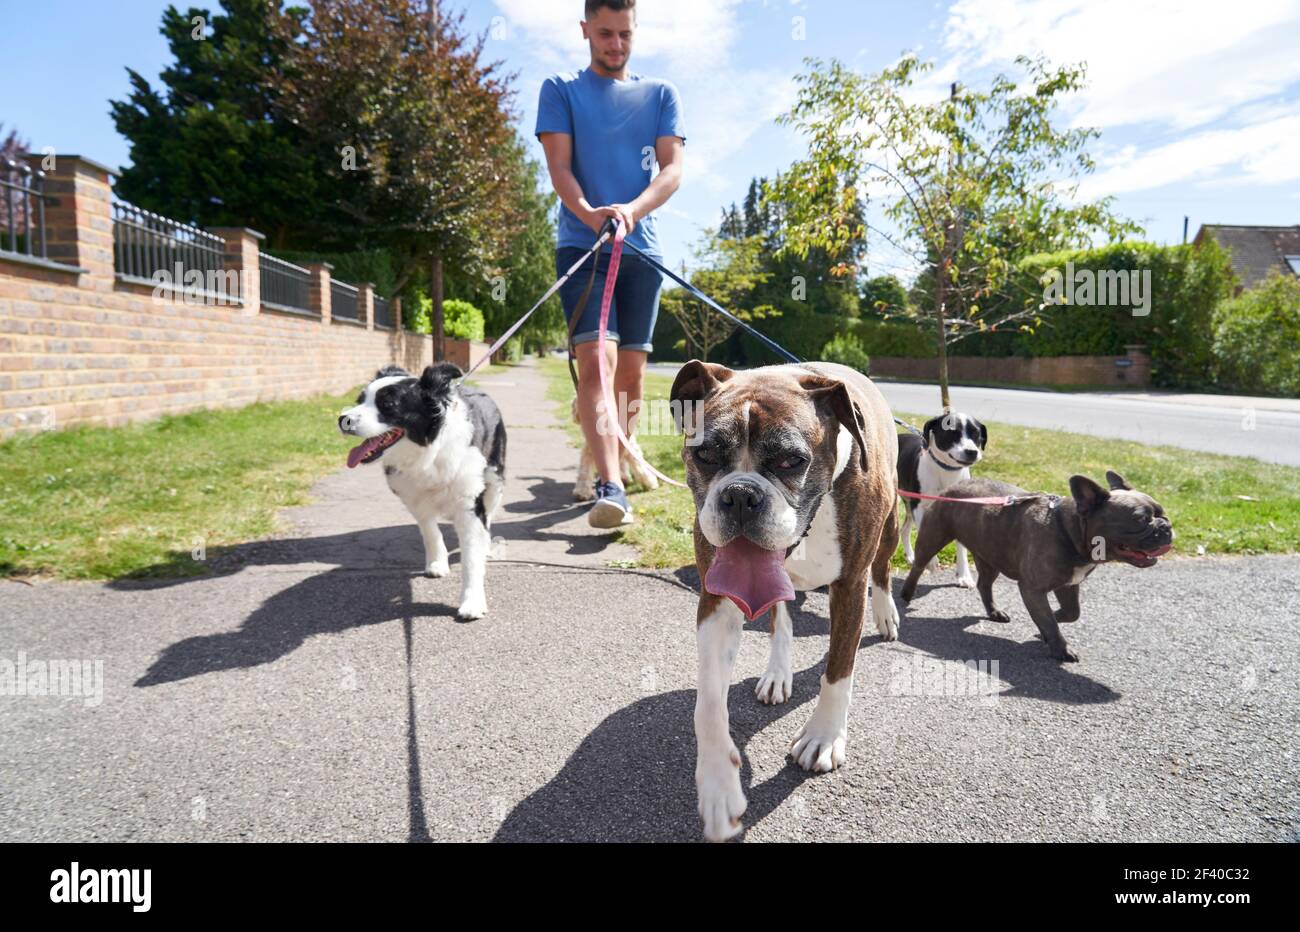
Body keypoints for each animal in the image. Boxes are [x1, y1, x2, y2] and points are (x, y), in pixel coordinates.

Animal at [338, 363, 504, 618]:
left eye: (388, 404)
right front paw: (437, 563)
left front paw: (472, 602)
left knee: (490, 510)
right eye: (360, 400)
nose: (342, 419)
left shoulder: (469, 501)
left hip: (494, 477)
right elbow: (430, 532)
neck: (426, 452)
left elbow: (471, 557)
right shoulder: (413, 497)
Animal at [665, 358, 899, 842]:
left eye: (792, 461)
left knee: (884, 570)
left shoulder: (850, 586)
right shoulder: (717, 601)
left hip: (891, 530)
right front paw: (718, 784)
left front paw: (824, 737)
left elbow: (838, 670)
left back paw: (887, 615)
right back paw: (777, 673)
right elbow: (709, 703)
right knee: (781, 619)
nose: (739, 495)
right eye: (705, 455)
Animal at [899, 410, 987, 584]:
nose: (972, 452)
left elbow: (962, 547)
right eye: (952, 432)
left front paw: (964, 575)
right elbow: (924, 532)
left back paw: (911, 557)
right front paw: (932, 562)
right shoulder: (919, 507)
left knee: (904, 530)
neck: (947, 471)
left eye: (976, 434)